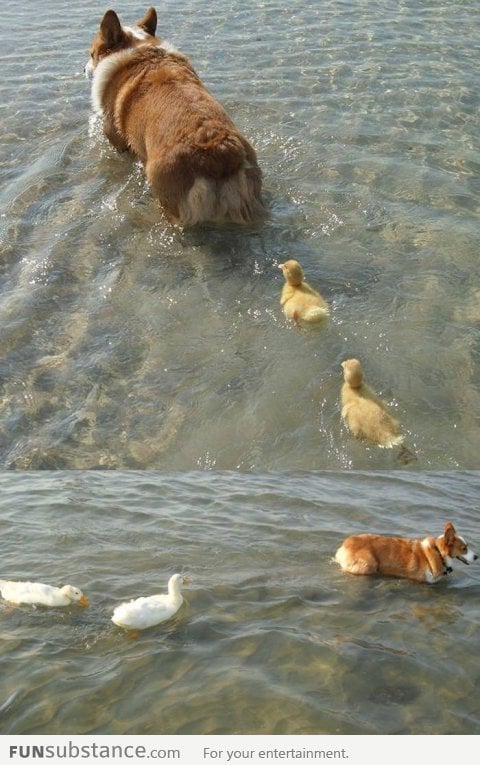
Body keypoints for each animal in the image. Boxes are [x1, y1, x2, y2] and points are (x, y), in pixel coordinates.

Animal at [336, 524, 478, 580]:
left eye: (467, 546)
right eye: (464, 548)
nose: (477, 557)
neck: (439, 553)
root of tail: (344, 545)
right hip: (369, 564)